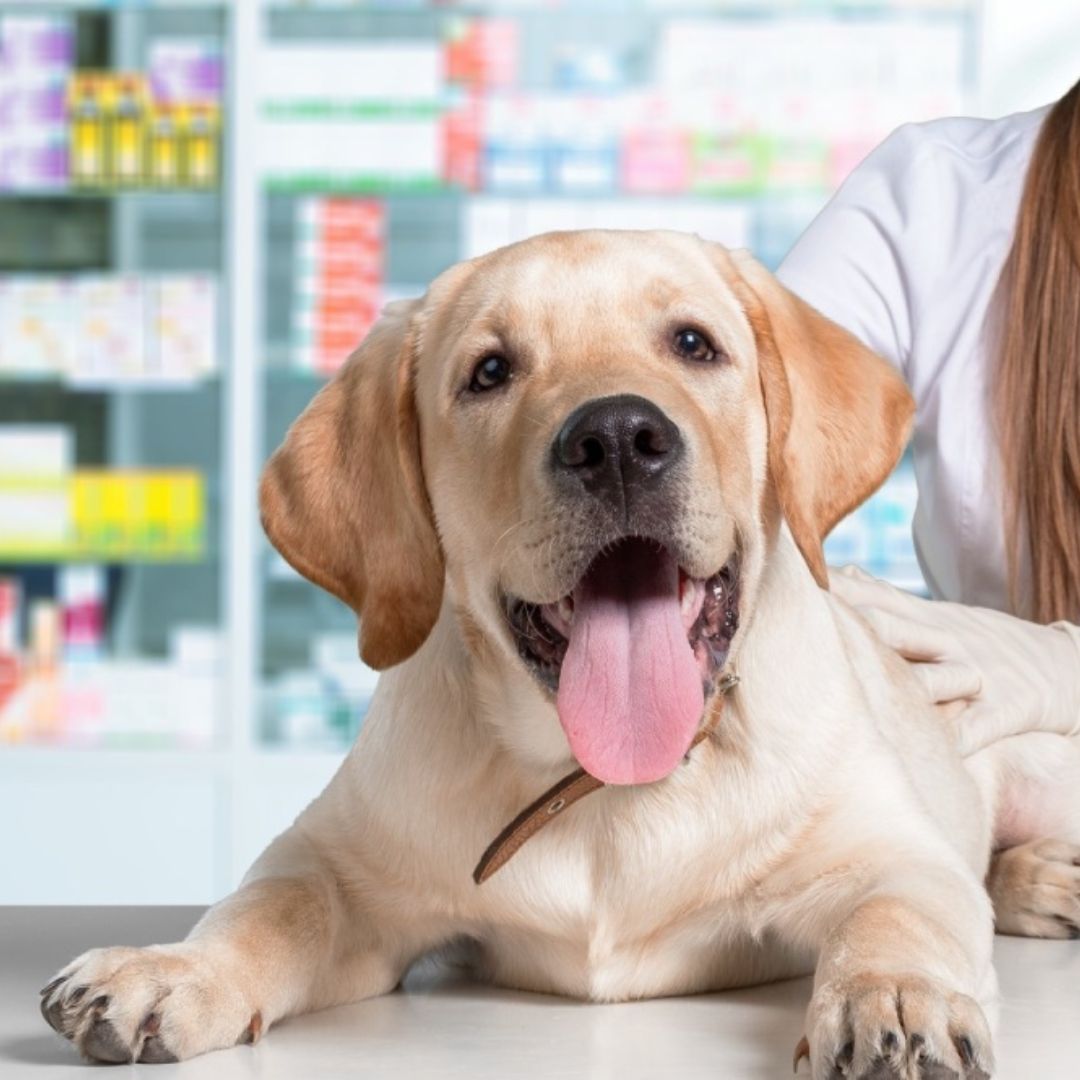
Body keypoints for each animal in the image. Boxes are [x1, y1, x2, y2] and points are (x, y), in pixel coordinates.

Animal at [38, 232, 1080, 1075]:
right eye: (490, 371)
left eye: (694, 344)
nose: (617, 438)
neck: (609, 789)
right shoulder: (341, 864)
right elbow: (272, 902)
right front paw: (173, 968)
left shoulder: (890, 854)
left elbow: (894, 915)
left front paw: (892, 999)